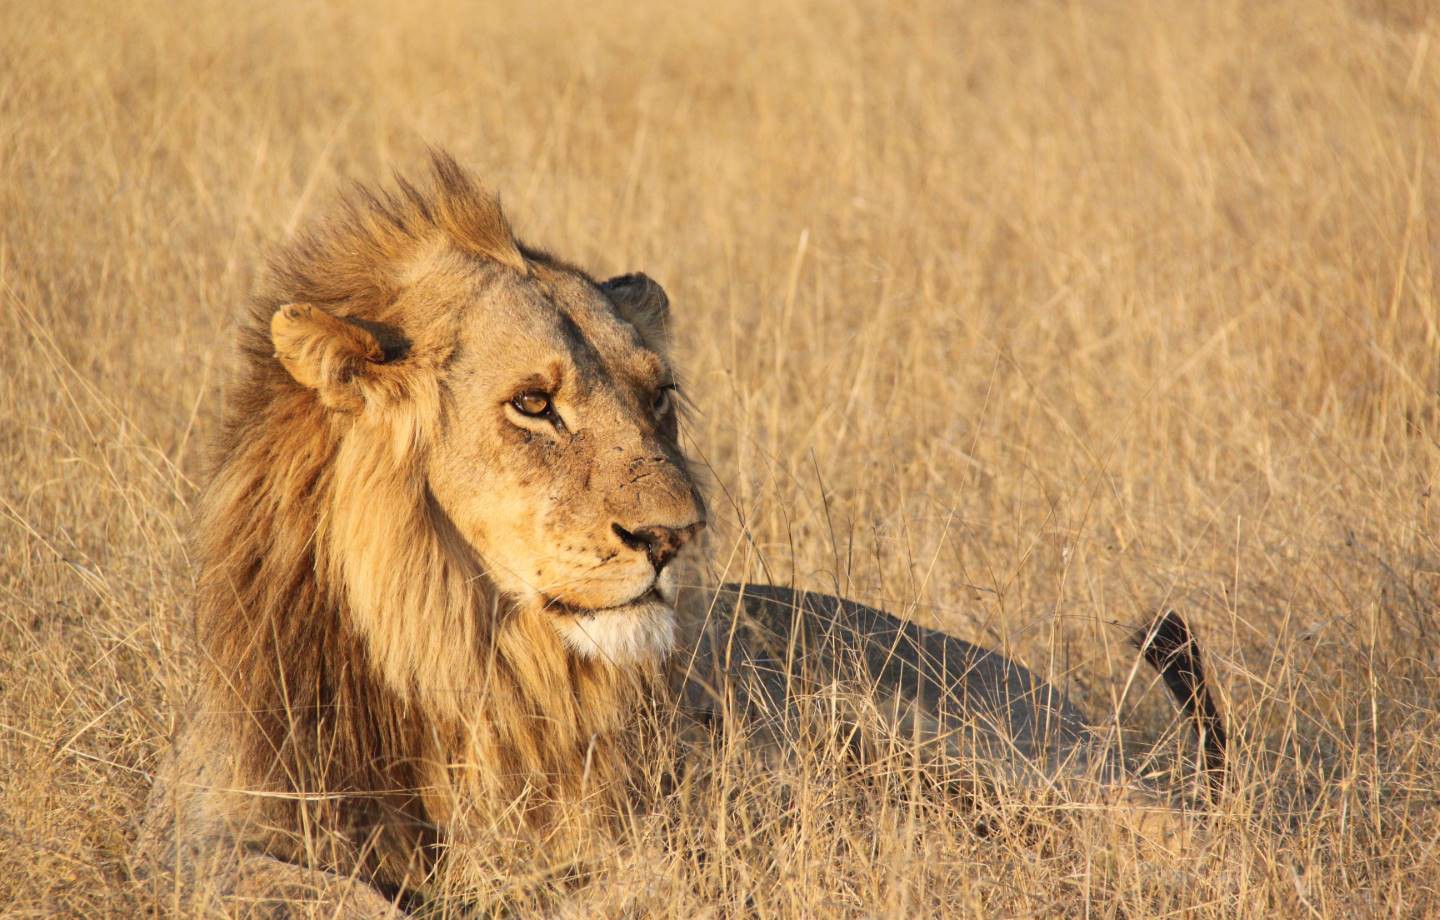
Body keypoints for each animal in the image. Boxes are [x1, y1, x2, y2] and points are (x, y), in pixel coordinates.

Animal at [140, 151, 1226, 915]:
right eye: (534, 403)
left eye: (656, 397)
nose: (674, 536)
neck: (458, 658)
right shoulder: (203, 824)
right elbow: (289, 884)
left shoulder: (660, 833)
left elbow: (610, 891)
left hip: (944, 732)